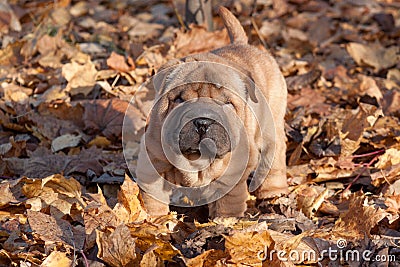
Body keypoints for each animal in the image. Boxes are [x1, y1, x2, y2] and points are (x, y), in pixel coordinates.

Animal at [134, 6, 288, 219]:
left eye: (227, 104)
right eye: (180, 100)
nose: (203, 122)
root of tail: (242, 44)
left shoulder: (232, 173)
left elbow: (228, 201)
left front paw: (225, 221)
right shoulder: (153, 162)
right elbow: (153, 199)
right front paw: (154, 221)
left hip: (272, 128)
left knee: (273, 161)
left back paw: (273, 195)